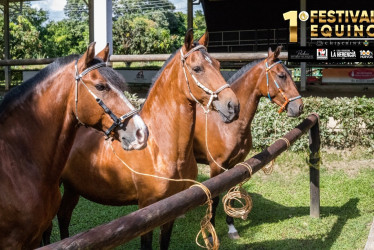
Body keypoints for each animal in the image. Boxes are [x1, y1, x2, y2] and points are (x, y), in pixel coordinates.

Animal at [54, 30, 238, 249]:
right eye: (197, 68)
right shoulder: (147, 211)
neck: (160, 150)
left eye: (218, 65)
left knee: (64, 215)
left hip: (73, 188)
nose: (233, 105)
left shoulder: (171, 211)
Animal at [193, 46, 304, 240]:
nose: (299, 107)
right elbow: (214, 199)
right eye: (282, 75)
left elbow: (231, 194)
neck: (227, 123)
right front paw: (212, 231)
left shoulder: (235, 165)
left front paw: (231, 227)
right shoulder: (216, 167)